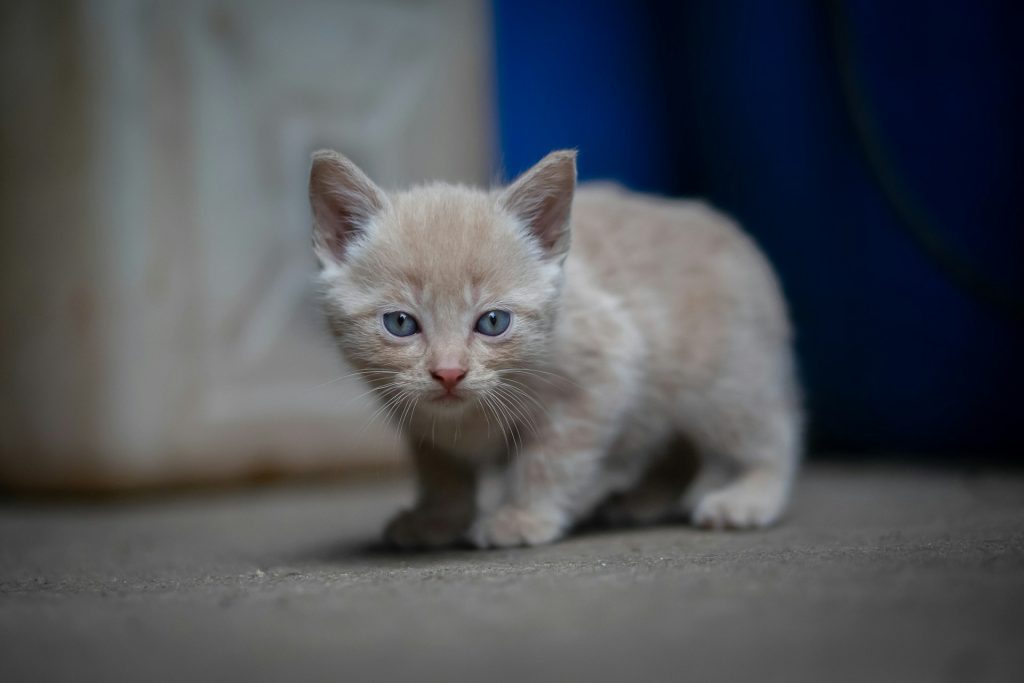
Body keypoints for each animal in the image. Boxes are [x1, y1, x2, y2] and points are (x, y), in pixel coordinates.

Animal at [307, 149, 802, 548]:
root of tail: (732, 232)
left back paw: (749, 497)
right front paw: (438, 519)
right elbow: (442, 469)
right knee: (678, 449)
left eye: (493, 322)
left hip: (726, 379)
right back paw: (642, 500)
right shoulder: (419, 416)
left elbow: (550, 459)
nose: (449, 372)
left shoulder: (605, 370)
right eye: (400, 324)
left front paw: (522, 517)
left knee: (773, 431)